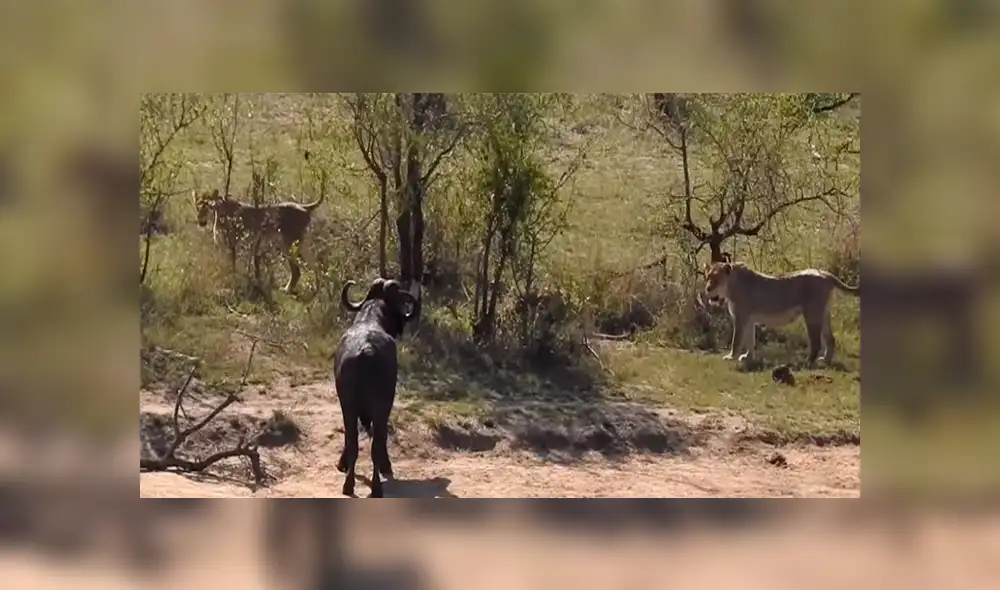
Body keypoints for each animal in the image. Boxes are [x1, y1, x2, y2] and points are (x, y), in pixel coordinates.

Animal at [700, 261, 860, 365]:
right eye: (707, 277)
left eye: (716, 278)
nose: (708, 289)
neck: (731, 286)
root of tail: (825, 273)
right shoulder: (749, 320)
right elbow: (750, 340)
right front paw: (748, 357)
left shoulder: (741, 318)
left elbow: (737, 340)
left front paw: (731, 357)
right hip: (823, 314)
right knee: (830, 339)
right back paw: (825, 360)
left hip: (812, 314)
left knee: (816, 342)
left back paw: (807, 362)